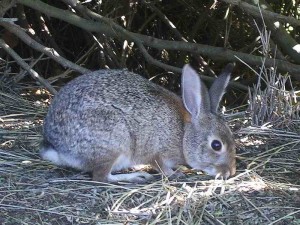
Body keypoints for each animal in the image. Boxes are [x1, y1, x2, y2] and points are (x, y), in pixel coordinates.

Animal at [40, 63, 237, 183]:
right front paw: (175, 173)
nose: (230, 171)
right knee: (101, 177)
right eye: (216, 145)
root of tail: (57, 147)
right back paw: (137, 176)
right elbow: (161, 166)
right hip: (114, 142)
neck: (183, 133)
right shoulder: (157, 151)